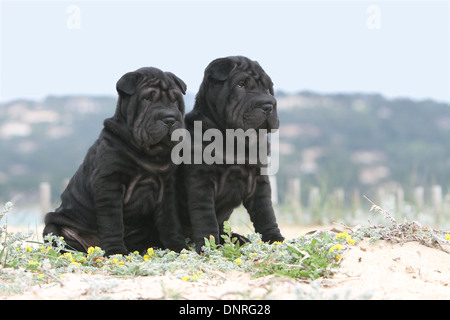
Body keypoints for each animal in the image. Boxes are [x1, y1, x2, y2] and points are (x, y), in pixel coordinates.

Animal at [43, 67, 188, 255]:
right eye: (147, 98)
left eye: (176, 100)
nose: (170, 118)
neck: (150, 153)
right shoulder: (109, 182)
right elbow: (113, 222)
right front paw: (116, 251)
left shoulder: (167, 189)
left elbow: (169, 221)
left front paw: (178, 247)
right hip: (54, 227)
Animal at [177, 55, 284, 251]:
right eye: (241, 84)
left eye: (268, 88)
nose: (268, 105)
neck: (235, 140)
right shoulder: (200, 182)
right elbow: (205, 217)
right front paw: (209, 246)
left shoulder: (259, 181)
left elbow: (266, 213)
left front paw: (276, 240)